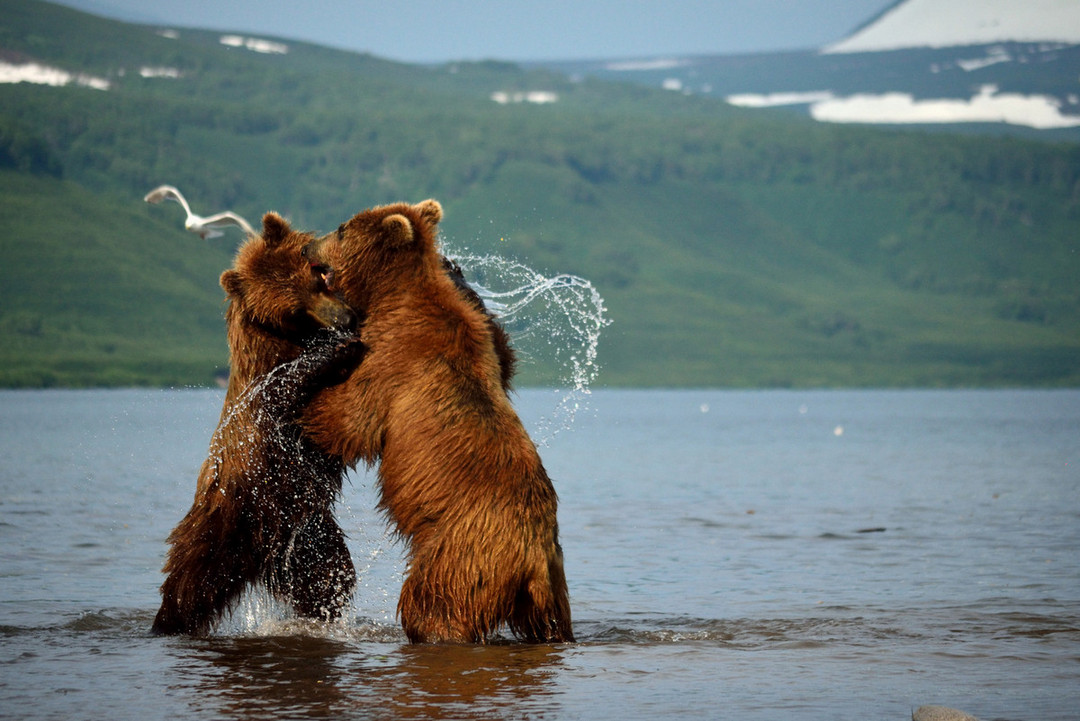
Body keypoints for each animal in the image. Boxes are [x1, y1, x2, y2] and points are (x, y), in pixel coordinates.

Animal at [152, 211, 362, 634]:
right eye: (294, 310)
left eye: (318, 276)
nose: (346, 320)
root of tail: (258, 557)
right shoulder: (263, 394)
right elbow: (288, 386)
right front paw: (340, 348)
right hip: (220, 526)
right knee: (184, 588)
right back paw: (165, 621)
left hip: (309, 537)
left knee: (330, 578)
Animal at [300, 198, 574, 643]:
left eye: (340, 228)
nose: (307, 246)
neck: (391, 295)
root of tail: (532, 556)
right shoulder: (486, 346)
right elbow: (503, 356)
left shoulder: (392, 358)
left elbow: (352, 418)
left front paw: (303, 403)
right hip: (553, 584)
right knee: (551, 622)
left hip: (462, 555)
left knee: (433, 603)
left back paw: (428, 630)